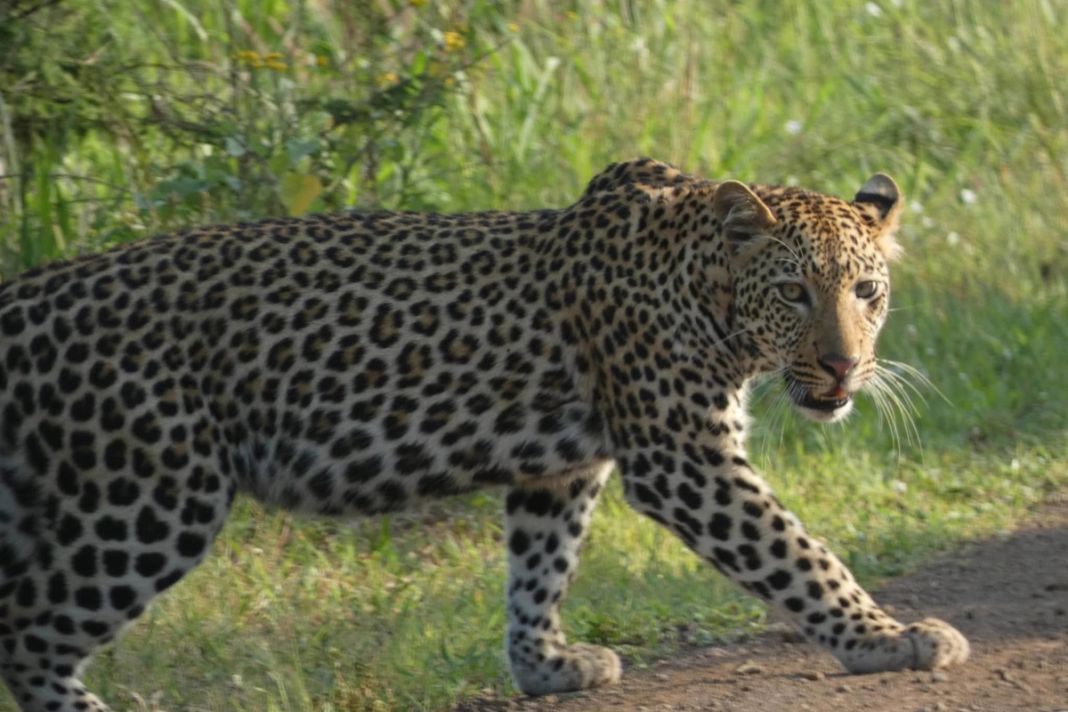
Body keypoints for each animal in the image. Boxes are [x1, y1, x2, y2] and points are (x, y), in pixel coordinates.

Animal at [0, 158, 969, 710]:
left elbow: (539, 570)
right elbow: (800, 554)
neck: (706, 286)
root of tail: (29, 296)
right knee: (31, 637)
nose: (844, 368)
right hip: (147, 498)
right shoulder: (684, 459)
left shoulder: (563, 467)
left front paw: (545, 669)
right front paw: (889, 638)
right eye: (796, 293)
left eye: (867, 292)